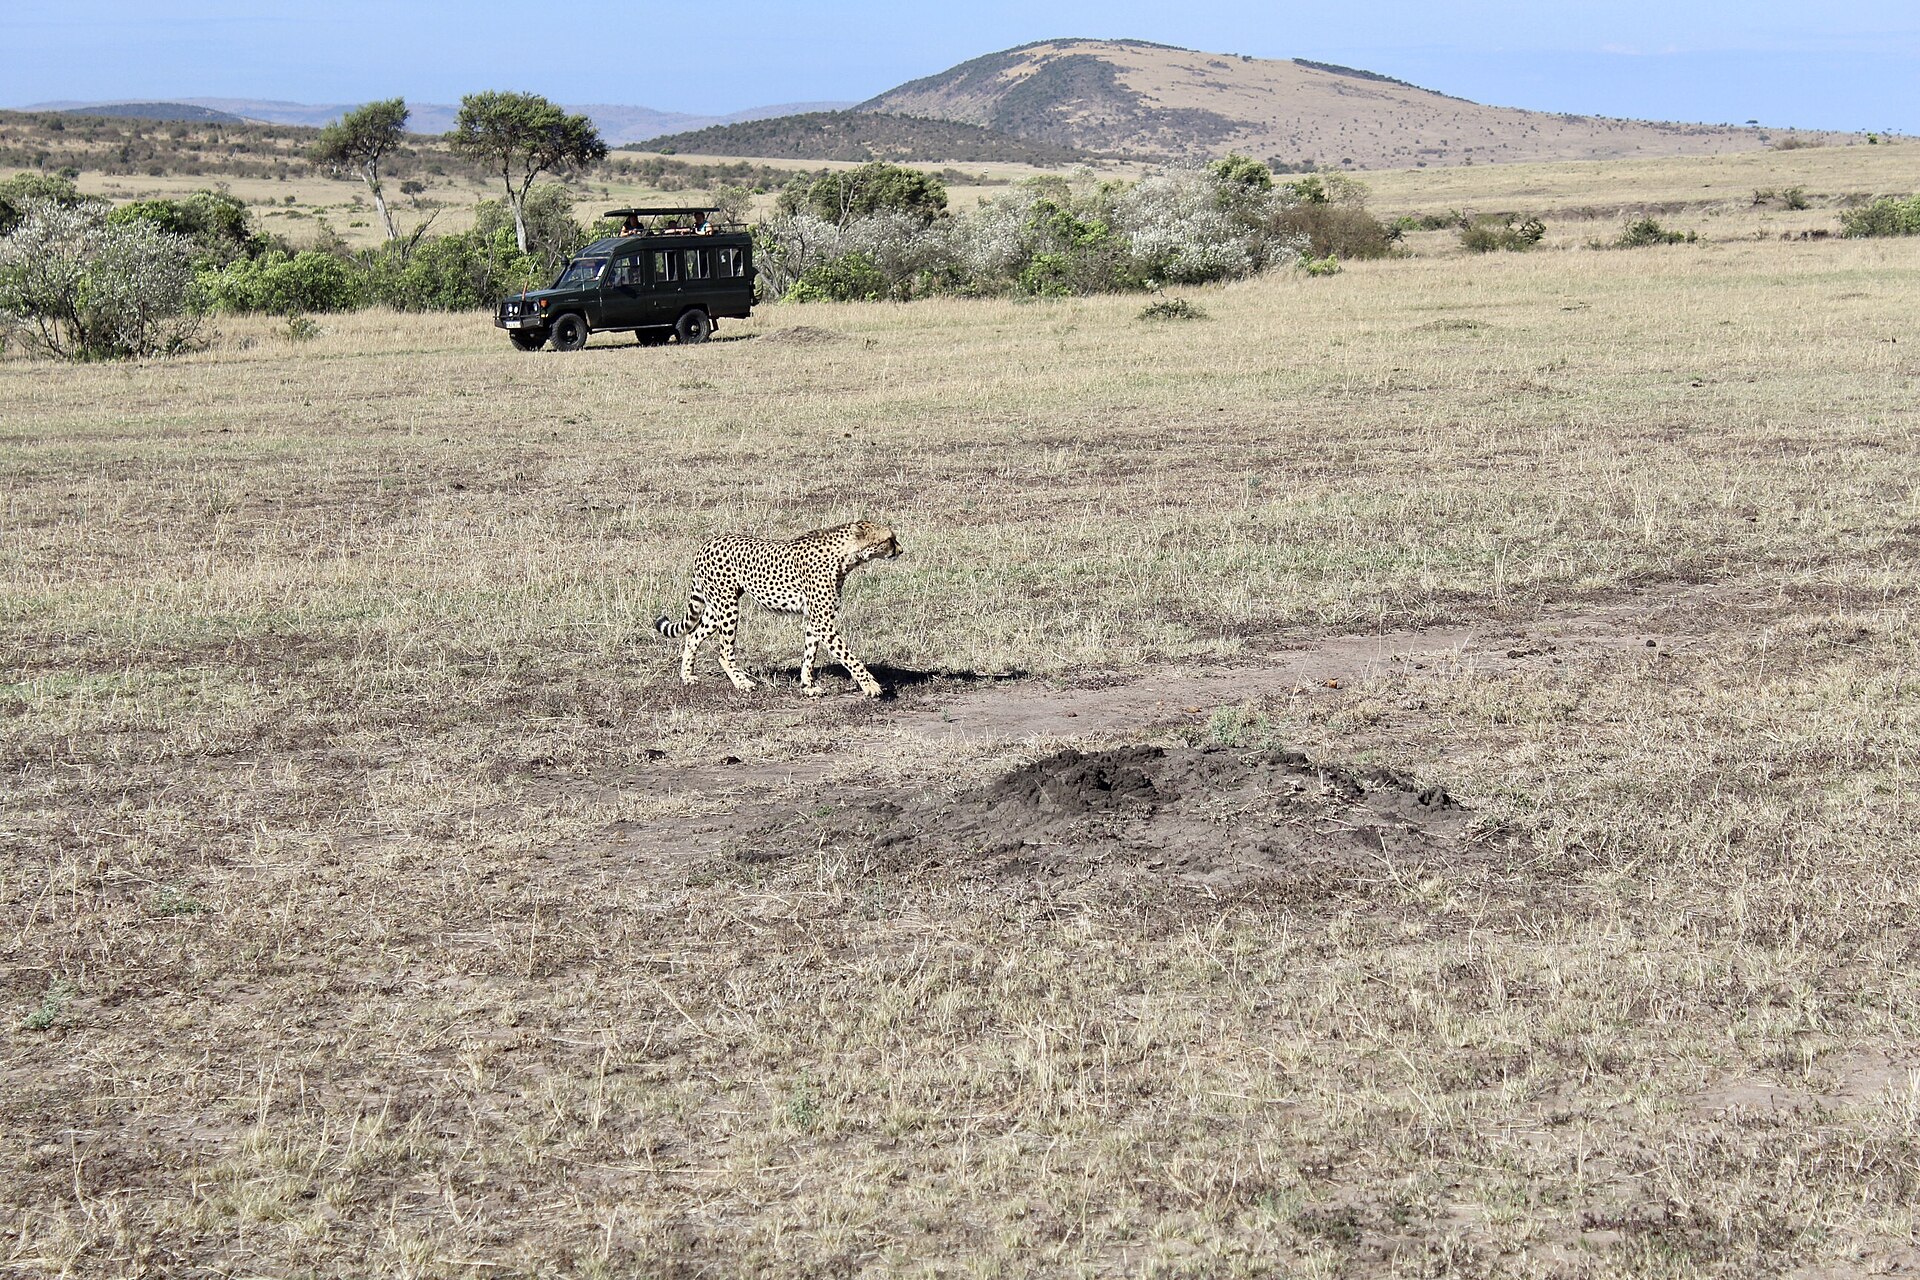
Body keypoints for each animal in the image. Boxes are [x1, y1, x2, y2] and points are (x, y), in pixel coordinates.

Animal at [655, 520, 903, 698]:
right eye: (890, 538)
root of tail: (708, 542)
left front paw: (807, 685)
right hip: (727, 607)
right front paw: (870, 685)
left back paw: (687, 676)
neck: (846, 556)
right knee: (724, 652)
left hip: (717, 608)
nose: (901, 550)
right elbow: (848, 655)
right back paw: (742, 683)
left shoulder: (814, 619)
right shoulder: (822, 621)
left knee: (693, 635)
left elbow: (810, 654)